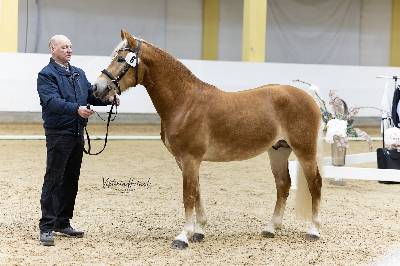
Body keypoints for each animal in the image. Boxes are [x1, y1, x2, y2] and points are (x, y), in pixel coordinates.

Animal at [92, 30, 324, 249]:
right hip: (278, 150)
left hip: (304, 151)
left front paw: (183, 236)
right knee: (283, 185)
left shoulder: (190, 159)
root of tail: (309, 98)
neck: (185, 102)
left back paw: (313, 230)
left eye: (120, 59)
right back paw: (271, 228)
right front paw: (199, 231)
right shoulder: (184, 161)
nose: (97, 88)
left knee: (315, 184)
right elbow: (196, 192)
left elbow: (188, 195)